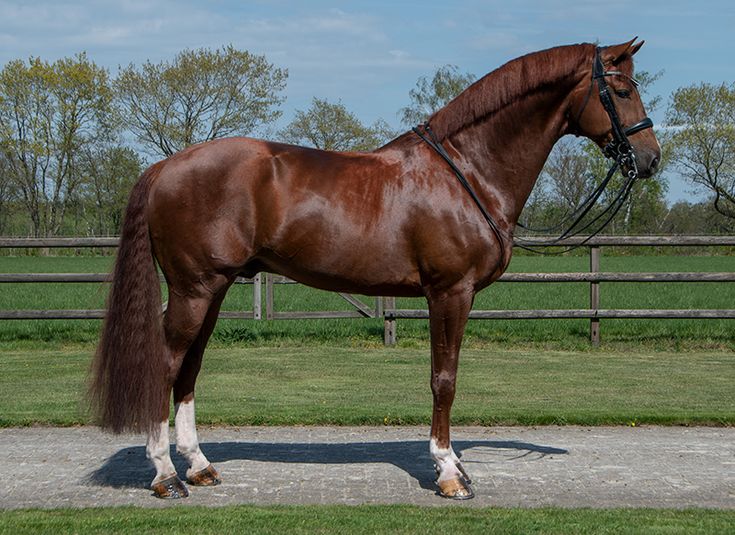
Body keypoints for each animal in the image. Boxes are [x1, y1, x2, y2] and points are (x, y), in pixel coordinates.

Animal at [90, 39, 660, 500]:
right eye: (621, 89)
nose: (651, 158)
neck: (466, 171)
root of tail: (165, 166)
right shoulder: (450, 292)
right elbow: (444, 379)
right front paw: (448, 473)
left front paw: (456, 467)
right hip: (194, 289)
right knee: (166, 366)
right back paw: (165, 475)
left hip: (212, 289)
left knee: (188, 369)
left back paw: (199, 466)